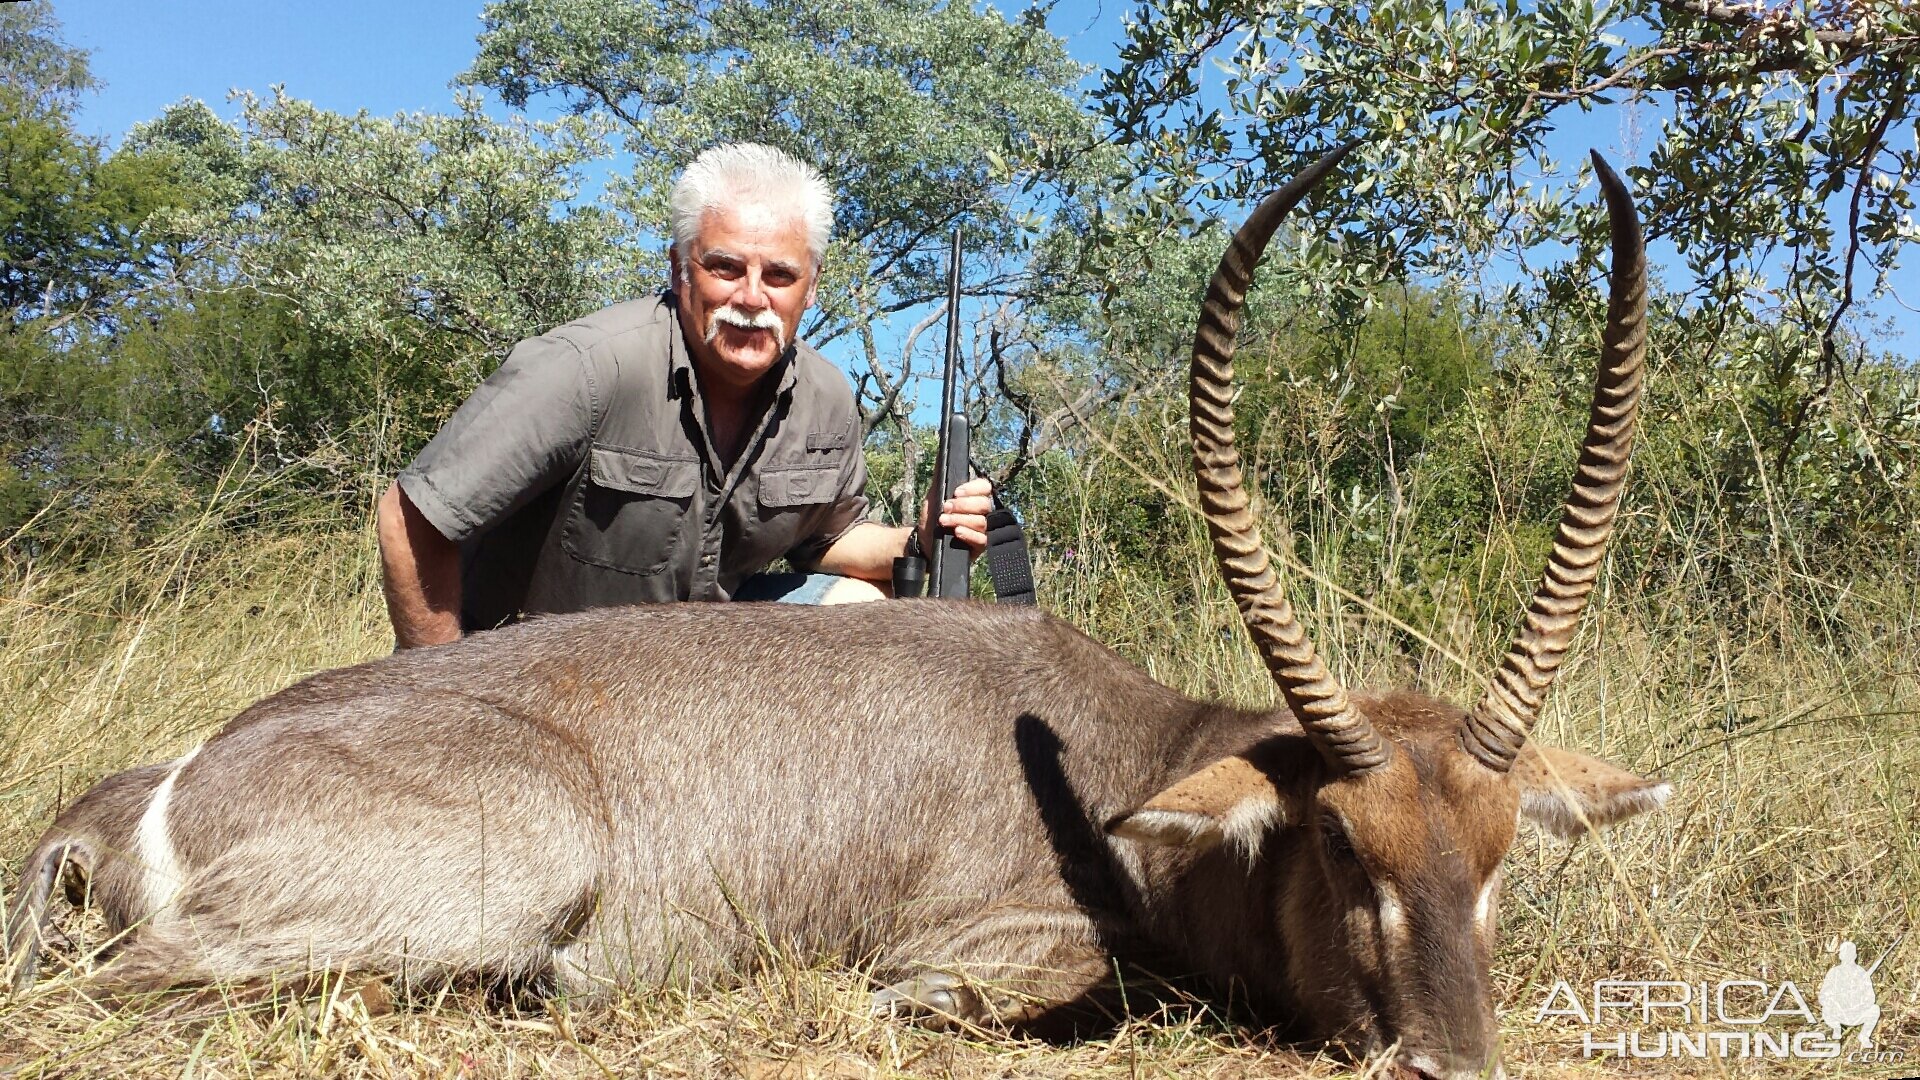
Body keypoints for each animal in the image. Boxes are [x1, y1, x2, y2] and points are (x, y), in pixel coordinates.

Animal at [3, 147, 1666, 1076]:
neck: (1120, 761)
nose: (1452, 1065)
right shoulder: (995, 940)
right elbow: (1038, 983)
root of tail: (138, 790)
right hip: (506, 863)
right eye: (1336, 842)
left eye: (1503, 857)